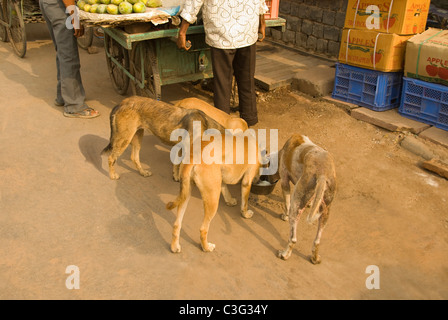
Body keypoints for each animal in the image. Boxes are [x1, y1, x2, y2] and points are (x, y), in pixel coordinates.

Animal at [276, 134, 336, 264]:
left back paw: (284, 254)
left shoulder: (284, 182)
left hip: (296, 205)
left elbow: (286, 204)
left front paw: (284, 216)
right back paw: (315, 258)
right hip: (326, 211)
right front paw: (310, 204)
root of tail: (322, 173)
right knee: (317, 240)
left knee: (293, 239)